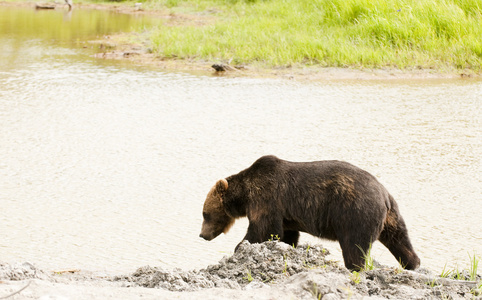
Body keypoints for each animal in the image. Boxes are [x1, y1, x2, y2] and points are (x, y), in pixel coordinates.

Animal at [198, 156, 420, 270]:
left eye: (205, 214)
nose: (202, 234)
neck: (244, 196)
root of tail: (383, 194)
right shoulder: (285, 215)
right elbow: (286, 234)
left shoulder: (266, 200)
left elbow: (262, 230)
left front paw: (240, 248)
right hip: (391, 216)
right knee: (399, 239)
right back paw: (412, 263)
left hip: (355, 212)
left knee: (354, 246)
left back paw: (355, 267)